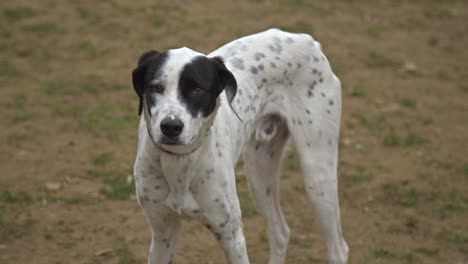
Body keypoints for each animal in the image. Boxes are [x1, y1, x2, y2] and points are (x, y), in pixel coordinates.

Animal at [131, 27, 348, 262]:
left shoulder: (232, 237)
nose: (170, 126)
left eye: (198, 90)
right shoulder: (162, 233)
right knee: (280, 233)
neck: (180, 162)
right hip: (259, 174)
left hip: (317, 176)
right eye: (156, 87)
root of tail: (305, 39)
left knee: (339, 249)